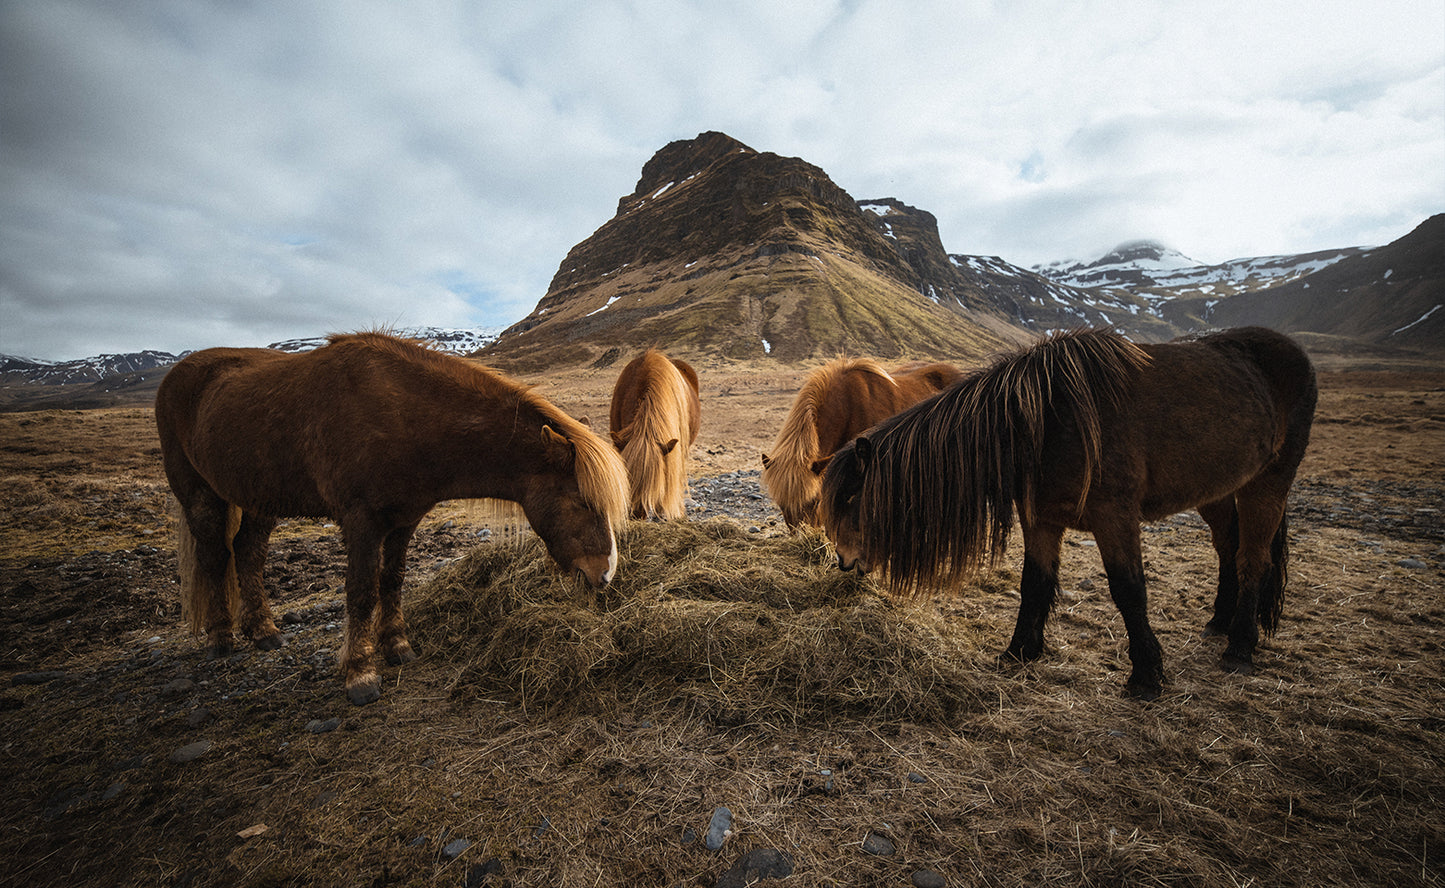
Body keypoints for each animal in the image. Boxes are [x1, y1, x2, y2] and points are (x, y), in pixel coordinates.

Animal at [155, 330, 630, 704]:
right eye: (582, 503)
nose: (605, 575)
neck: (405, 417)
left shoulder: (405, 519)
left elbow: (393, 581)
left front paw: (398, 646)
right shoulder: (361, 521)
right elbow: (362, 590)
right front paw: (360, 673)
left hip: (259, 499)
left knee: (247, 553)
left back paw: (264, 631)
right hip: (200, 494)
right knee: (214, 556)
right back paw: (221, 638)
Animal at [820, 326, 1317, 701]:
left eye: (852, 500)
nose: (843, 559)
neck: (1045, 422)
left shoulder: (1114, 518)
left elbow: (1128, 590)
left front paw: (1146, 676)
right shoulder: (1041, 518)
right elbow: (1035, 584)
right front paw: (1019, 652)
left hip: (1269, 481)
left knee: (1253, 559)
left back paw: (1240, 646)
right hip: (1217, 488)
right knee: (1228, 547)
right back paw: (1219, 622)